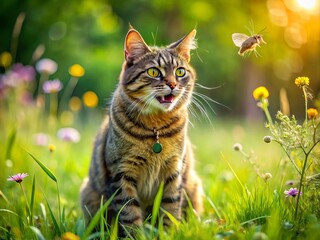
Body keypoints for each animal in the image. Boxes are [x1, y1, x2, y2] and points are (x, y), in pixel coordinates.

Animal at [81, 27, 204, 235]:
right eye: (154, 72)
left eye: (180, 72)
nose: (173, 84)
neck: (155, 128)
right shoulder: (122, 172)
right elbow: (130, 214)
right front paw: (136, 236)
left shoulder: (174, 171)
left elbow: (170, 209)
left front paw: (168, 234)